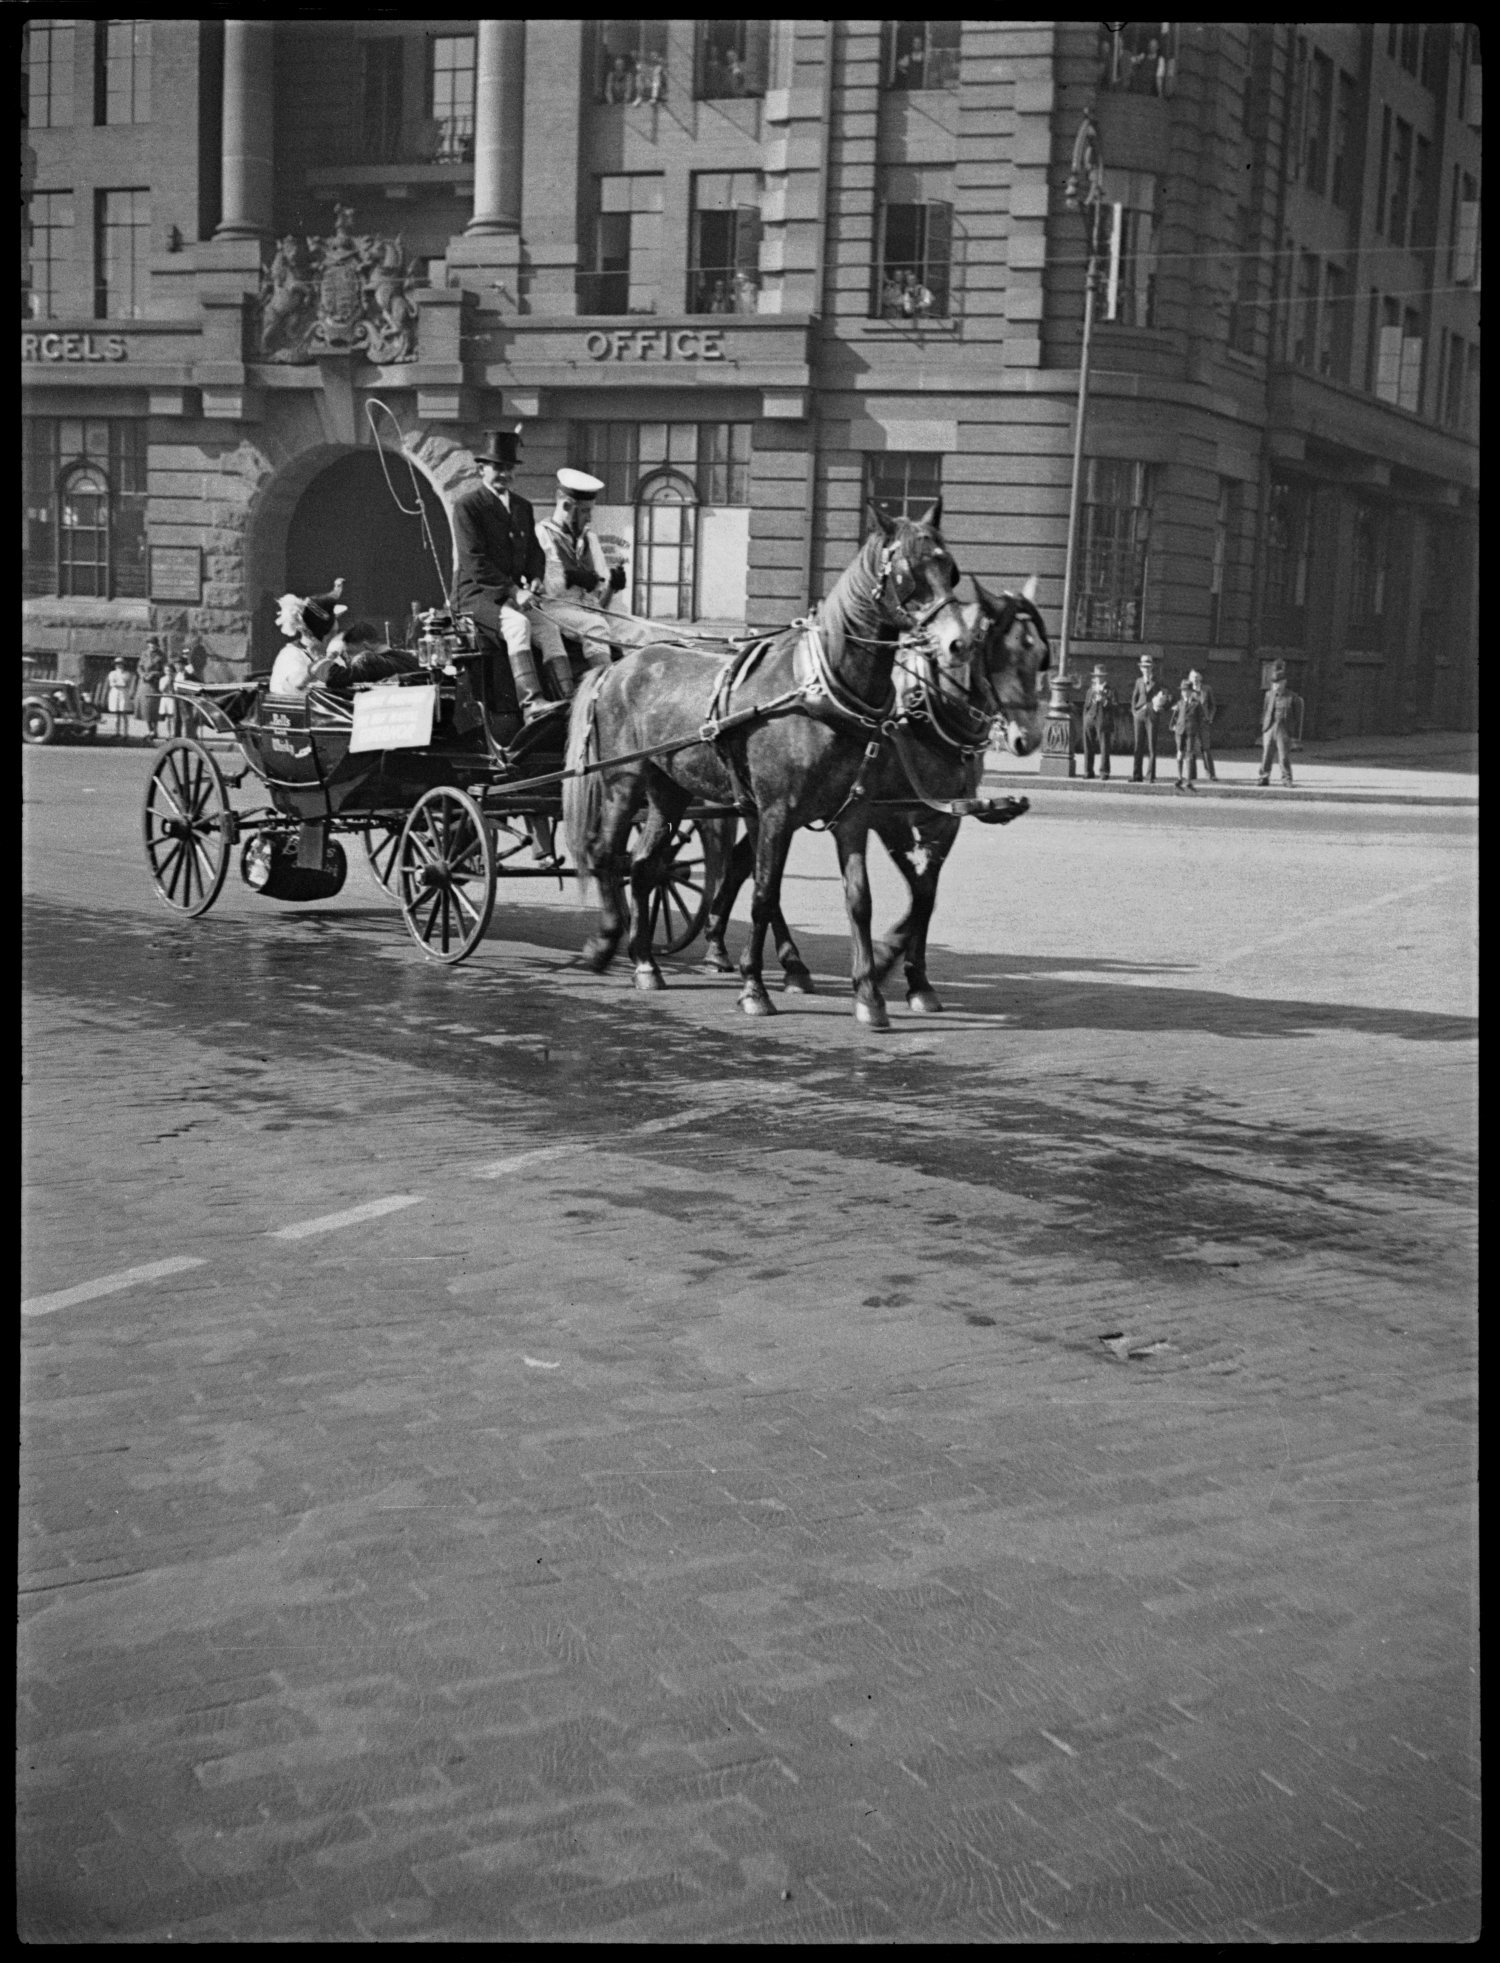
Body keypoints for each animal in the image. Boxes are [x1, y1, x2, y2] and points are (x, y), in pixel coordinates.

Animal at [561, 506, 973, 1020]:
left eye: (951, 569)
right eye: (907, 571)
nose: (957, 644)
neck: (819, 691)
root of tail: (617, 667)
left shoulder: (854, 814)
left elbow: (859, 899)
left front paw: (867, 992)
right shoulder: (777, 812)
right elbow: (763, 893)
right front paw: (754, 986)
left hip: (668, 791)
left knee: (642, 866)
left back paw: (644, 962)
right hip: (624, 781)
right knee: (606, 855)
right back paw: (606, 942)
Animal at [698, 581, 1052, 1028]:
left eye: (1039, 654)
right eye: (998, 652)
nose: (1029, 738)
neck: (921, 716)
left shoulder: (942, 822)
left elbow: (925, 896)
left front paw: (914, 980)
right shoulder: (887, 819)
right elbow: (912, 892)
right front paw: (883, 963)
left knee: (748, 867)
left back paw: (741, 951)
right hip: (770, 806)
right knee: (760, 875)